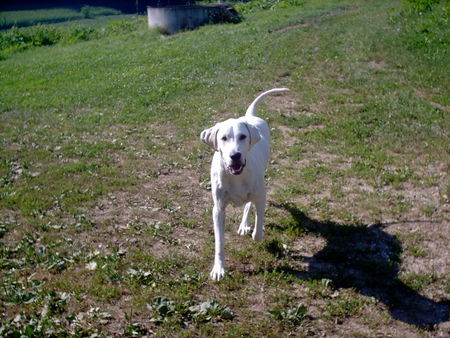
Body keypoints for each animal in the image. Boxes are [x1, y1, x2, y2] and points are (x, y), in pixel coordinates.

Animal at [202, 88, 290, 280]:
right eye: (223, 138)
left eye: (242, 137)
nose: (235, 155)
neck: (236, 176)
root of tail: (250, 116)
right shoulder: (218, 209)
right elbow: (219, 243)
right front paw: (218, 268)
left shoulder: (261, 196)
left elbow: (258, 226)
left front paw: (258, 231)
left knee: (250, 204)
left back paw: (246, 224)